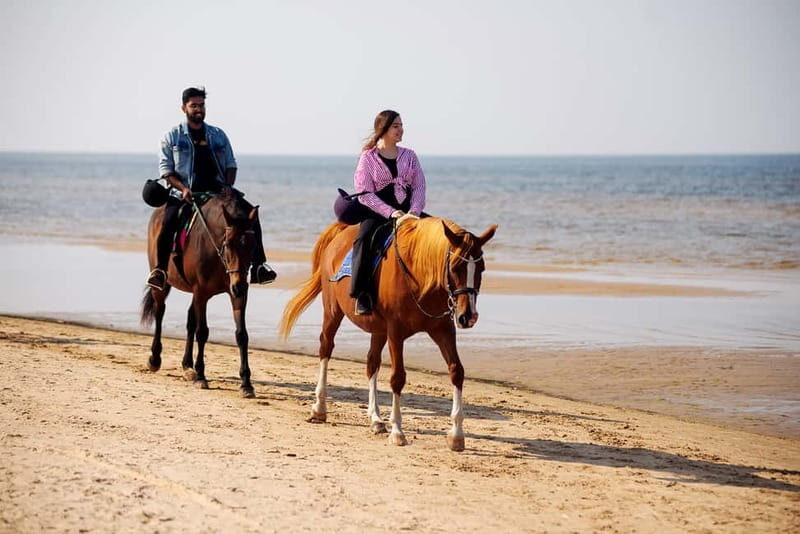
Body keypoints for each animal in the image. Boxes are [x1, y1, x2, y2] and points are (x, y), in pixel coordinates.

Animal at [141, 188, 260, 397]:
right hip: (163, 286)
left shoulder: (235, 295)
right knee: (160, 312)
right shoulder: (202, 293)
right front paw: (201, 376)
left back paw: (188, 366)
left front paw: (246, 383)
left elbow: (241, 335)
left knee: (190, 320)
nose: (240, 286)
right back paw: (155, 359)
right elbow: (202, 332)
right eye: (229, 244)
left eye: (253, 245)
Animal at [280, 216, 497, 451]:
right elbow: (398, 378)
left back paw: (375, 418)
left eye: (482, 268)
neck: (418, 276)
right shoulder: (396, 331)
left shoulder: (442, 330)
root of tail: (341, 232)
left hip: (378, 330)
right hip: (332, 311)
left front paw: (456, 435)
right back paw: (319, 408)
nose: (468, 316)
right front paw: (398, 432)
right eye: (456, 267)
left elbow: (457, 371)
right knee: (326, 349)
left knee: (371, 362)